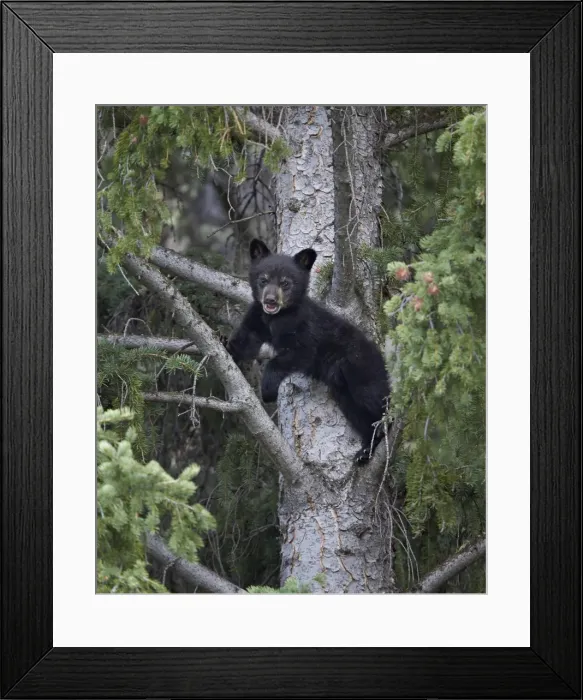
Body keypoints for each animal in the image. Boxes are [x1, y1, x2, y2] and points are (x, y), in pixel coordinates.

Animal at [226, 238, 391, 464]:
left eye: (285, 283)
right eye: (263, 279)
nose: (270, 300)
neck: (275, 318)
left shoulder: (304, 330)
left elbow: (294, 355)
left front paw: (267, 390)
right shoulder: (256, 319)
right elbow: (244, 340)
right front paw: (225, 348)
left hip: (361, 367)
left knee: (376, 396)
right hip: (342, 390)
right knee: (358, 413)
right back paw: (366, 449)